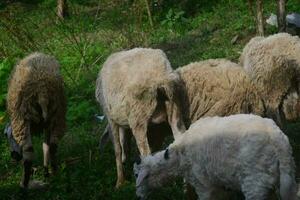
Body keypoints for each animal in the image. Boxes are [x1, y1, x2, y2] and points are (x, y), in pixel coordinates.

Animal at [95, 48, 186, 188]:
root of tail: (160, 77)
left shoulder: (111, 119)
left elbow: (117, 148)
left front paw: (120, 181)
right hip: (174, 107)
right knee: (180, 138)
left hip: (138, 117)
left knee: (145, 153)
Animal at [134, 114, 298, 200]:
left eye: (137, 175)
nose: (138, 197)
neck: (178, 157)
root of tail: (279, 141)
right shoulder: (219, 184)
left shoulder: (203, 184)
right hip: (283, 179)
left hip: (255, 182)